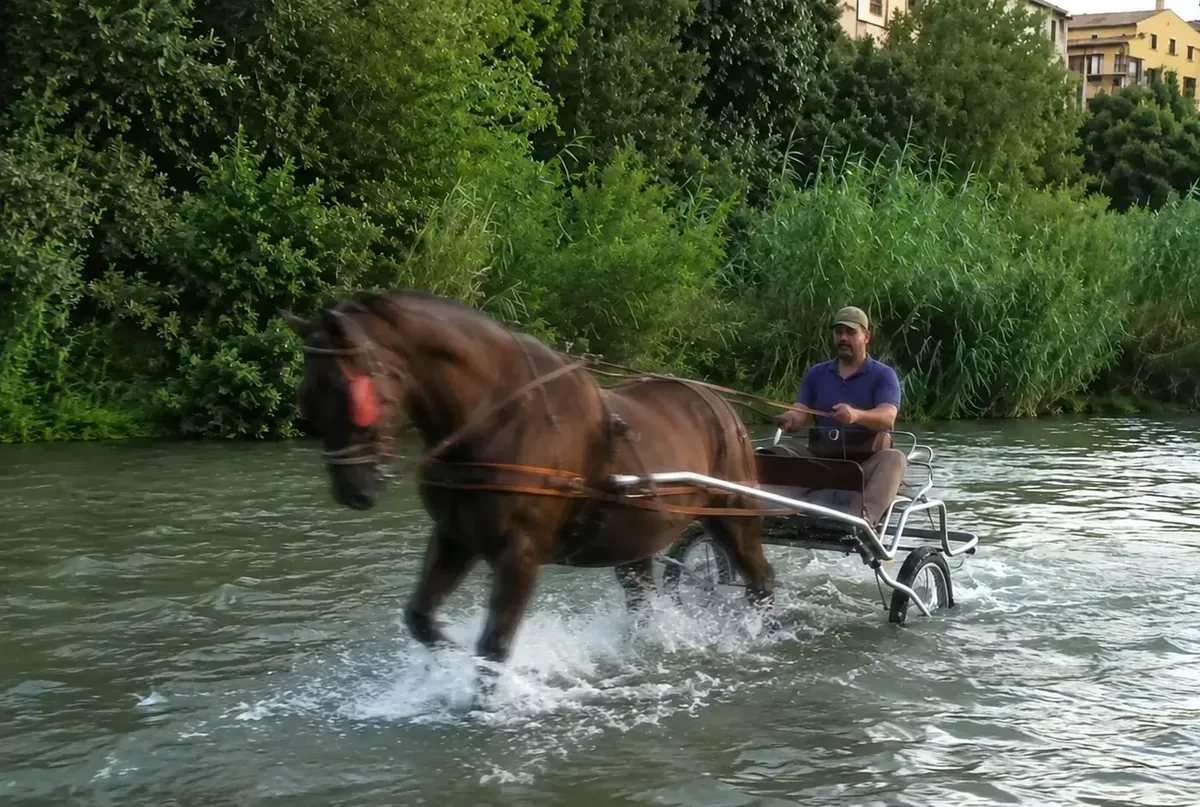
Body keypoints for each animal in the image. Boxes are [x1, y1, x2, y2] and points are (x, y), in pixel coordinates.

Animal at [281, 288, 776, 669]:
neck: (497, 418)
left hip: (732, 516)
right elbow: (419, 616)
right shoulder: (454, 537)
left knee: (760, 580)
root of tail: (720, 403)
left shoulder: (520, 551)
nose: (352, 490)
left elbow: (494, 645)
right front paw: (447, 656)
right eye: (306, 398)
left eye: (355, 397)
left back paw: (764, 632)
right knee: (644, 599)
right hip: (634, 536)